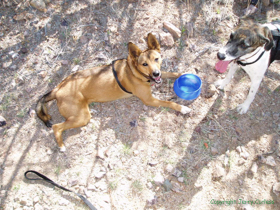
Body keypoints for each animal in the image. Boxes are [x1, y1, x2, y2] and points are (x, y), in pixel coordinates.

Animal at [36, 33, 191, 151]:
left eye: (156, 59)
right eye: (144, 64)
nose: (156, 73)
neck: (134, 70)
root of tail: (57, 89)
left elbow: (173, 73)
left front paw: (185, 74)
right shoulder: (149, 100)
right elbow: (169, 102)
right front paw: (183, 108)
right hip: (82, 117)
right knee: (56, 127)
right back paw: (61, 146)